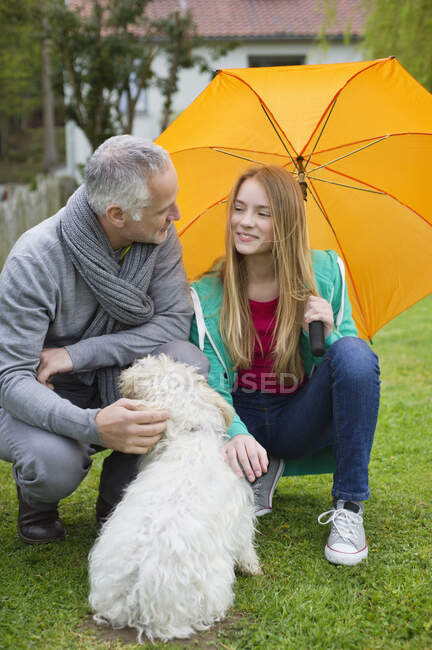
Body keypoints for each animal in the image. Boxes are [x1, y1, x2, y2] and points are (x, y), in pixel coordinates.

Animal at [88, 352, 260, 640]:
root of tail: (136, 595)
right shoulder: (240, 518)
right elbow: (246, 546)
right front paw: (253, 566)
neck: (188, 437)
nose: (127, 370)